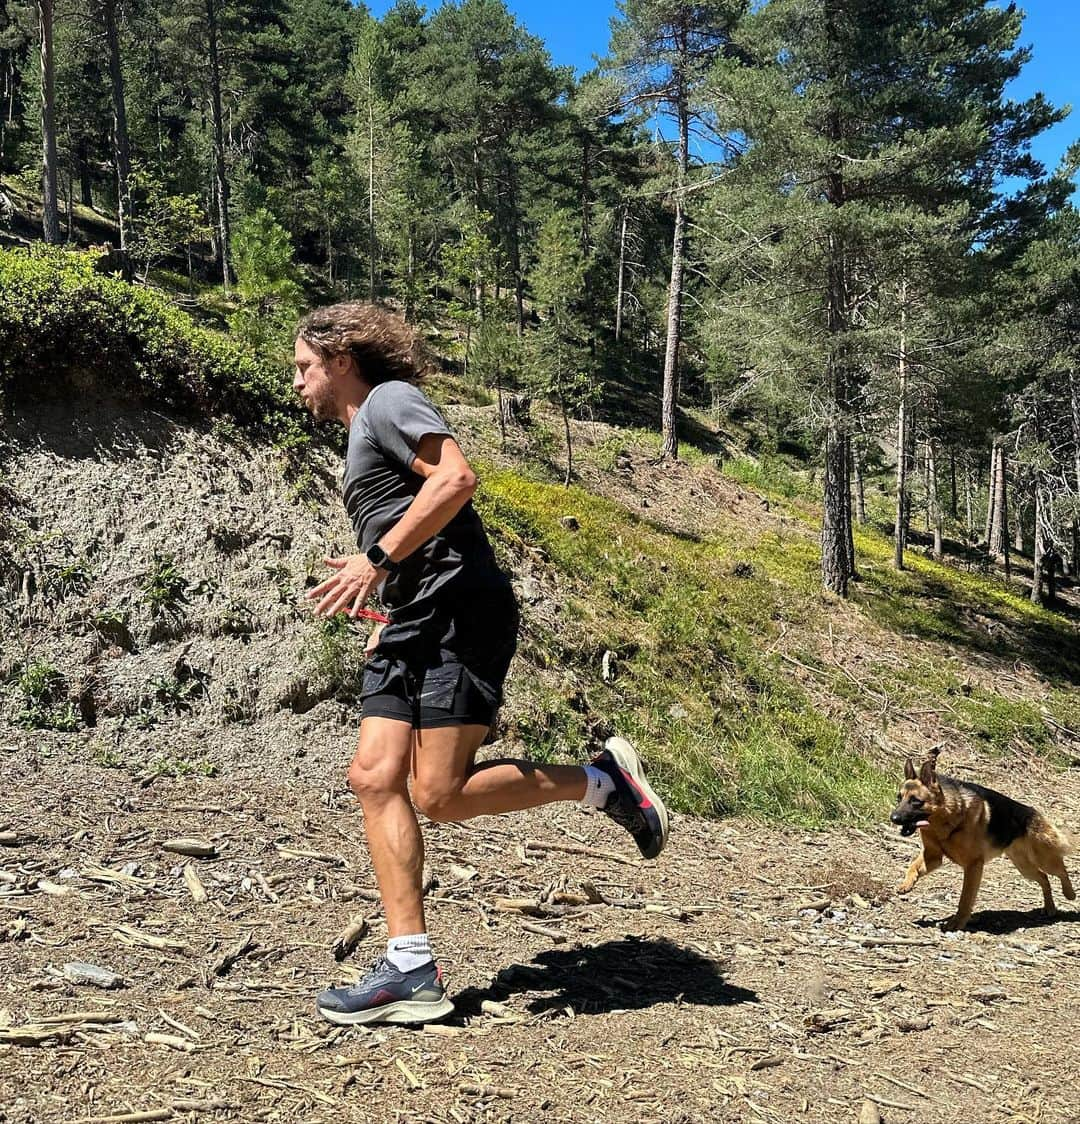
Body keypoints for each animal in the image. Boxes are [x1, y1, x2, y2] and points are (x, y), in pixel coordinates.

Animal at [890, 755, 1074, 930]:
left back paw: (1069, 893)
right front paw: (906, 884)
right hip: (1024, 867)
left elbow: (965, 899)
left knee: (1061, 871)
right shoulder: (933, 856)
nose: (893, 818)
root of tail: (1032, 811)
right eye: (899, 798)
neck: (948, 816)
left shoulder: (973, 866)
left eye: (915, 801)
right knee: (1044, 878)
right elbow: (913, 866)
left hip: (1044, 859)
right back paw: (1050, 907)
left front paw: (957, 922)